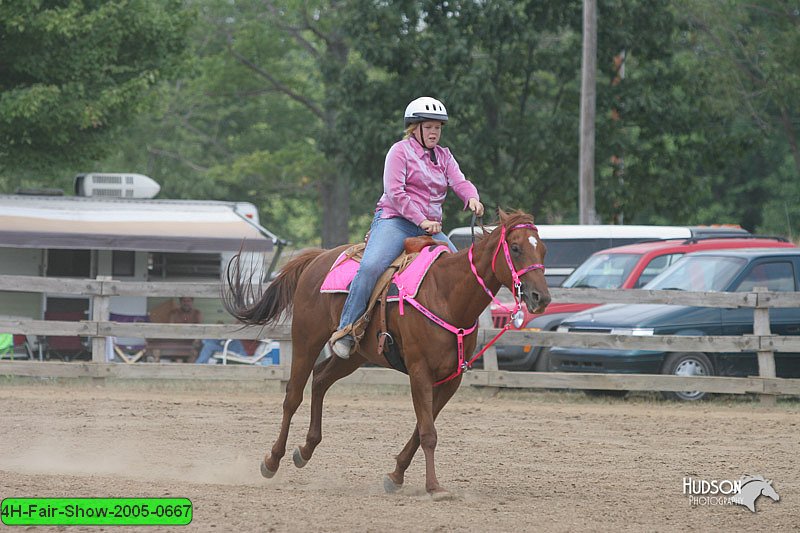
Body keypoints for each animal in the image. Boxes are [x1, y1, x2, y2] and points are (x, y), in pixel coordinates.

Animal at [225, 209, 552, 494]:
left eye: (544, 250)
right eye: (515, 248)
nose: (541, 298)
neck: (446, 294)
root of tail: (318, 257)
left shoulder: (451, 378)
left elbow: (421, 429)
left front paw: (395, 476)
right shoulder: (419, 371)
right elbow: (428, 432)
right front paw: (434, 487)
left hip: (356, 355)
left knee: (320, 380)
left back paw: (305, 450)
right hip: (306, 339)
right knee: (293, 396)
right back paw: (272, 461)